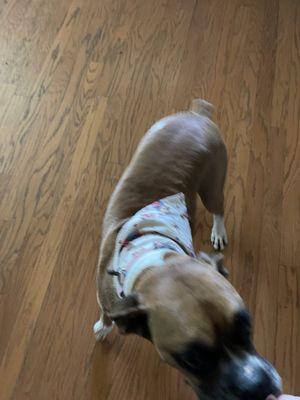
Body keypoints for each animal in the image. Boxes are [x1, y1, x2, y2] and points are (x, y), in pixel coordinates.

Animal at [94, 100, 282, 400]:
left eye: (247, 323)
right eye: (193, 359)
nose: (258, 386)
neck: (153, 257)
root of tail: (196, 114)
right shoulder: (105, 294)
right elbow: (105, 312)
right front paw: (103, 326)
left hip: (212, 187)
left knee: (219, 209)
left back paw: (218, 231)